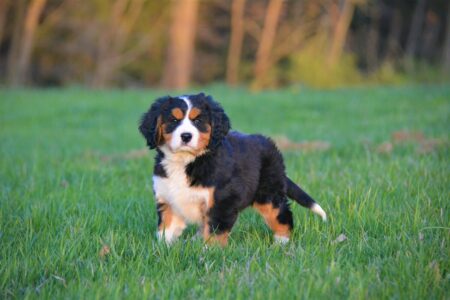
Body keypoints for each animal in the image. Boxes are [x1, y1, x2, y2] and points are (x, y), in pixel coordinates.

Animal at [139, 92, 326, 245]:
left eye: (198, 120)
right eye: (174, 120)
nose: (186, 136)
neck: (186, 161)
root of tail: (268, 142)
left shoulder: (222, 199)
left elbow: (215, 231)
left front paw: (209, 253)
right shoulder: (168, 199)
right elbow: (166, 230)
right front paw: (162, 250)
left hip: (268, 193)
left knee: (281, 215)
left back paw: (281, 243)